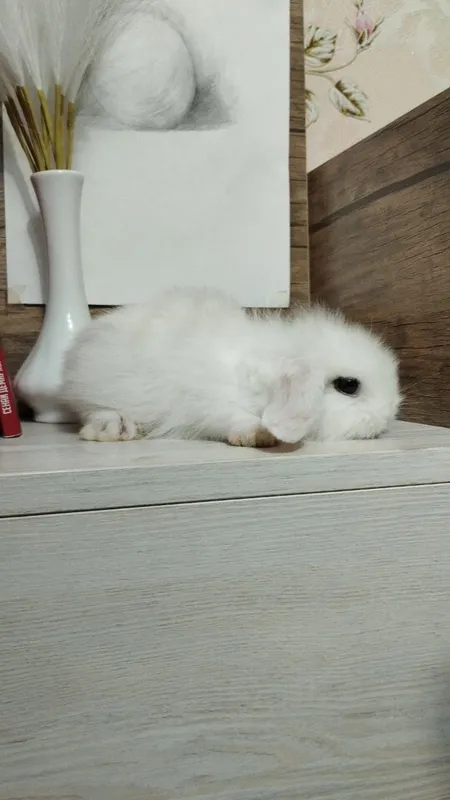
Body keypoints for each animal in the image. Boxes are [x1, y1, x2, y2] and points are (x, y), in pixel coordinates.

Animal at [60, 287, 401, 446]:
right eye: (348, 385)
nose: (387, 418)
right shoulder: (208, 404)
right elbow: (233, 419)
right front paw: (259, 435)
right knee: (92, 411)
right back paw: (114, 428)